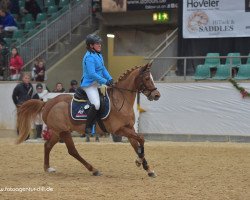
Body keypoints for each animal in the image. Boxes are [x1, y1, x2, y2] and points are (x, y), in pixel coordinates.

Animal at [16, 63, 160, 177]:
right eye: (147, 78)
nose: (157, 95)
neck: (120, 99)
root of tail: (48, 103)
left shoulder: (129, 129)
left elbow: (137, 145)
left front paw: (148, 169)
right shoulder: (119, 130)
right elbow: (141, 139)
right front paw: (139, 161)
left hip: (58, 132)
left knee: (47, 145)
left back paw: (48, 168)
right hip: (64, 132)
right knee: (72, 151)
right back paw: (93, 169)